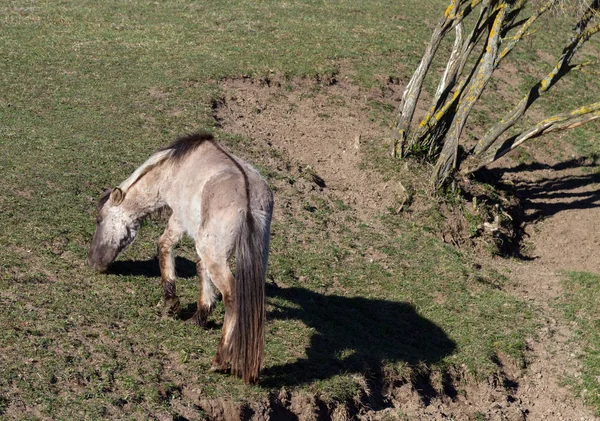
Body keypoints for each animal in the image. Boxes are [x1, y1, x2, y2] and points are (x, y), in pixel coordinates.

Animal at [86, 132, 274, 384]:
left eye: (99, 219)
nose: (92, 262)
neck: (174, 169)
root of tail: (249, 201)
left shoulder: (179, 219)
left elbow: (164, 246)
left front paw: (170, 304)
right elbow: (200, 269)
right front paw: (200, 316)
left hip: (215, 255)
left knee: (233, 296)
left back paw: (220, 360)